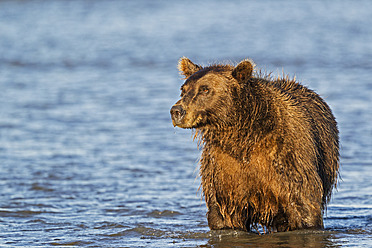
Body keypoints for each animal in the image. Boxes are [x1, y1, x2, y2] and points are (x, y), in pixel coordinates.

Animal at [170, 57, 338, 233]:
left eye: (205, 89)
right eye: (183, 90)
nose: (176, 111)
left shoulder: (287, 158)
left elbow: (304, 206)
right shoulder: (222, 168)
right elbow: (223, 213)